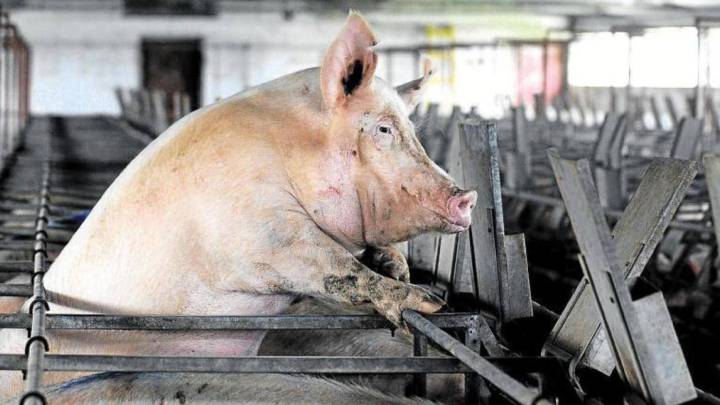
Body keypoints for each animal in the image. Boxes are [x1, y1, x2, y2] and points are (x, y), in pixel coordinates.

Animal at [0, 11, 476, 399]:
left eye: (411, 131)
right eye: (382, 129)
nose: (466, 197)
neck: (291, 153)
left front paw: (399, 268)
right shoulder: (261, 236)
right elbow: (336, 267)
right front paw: (428, 302)